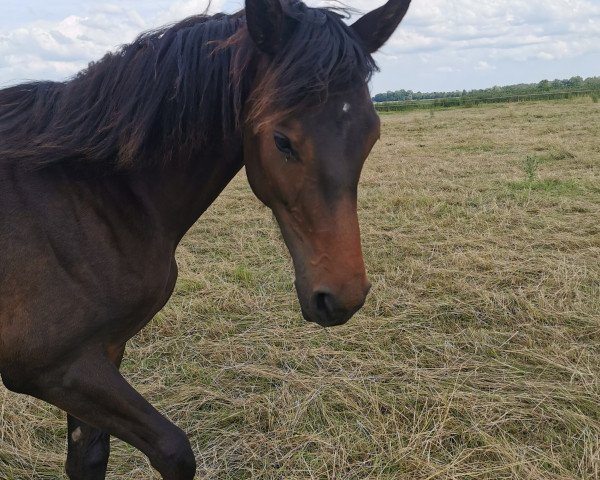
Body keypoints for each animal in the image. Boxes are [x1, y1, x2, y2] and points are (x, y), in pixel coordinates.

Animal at [0, 1, 412, 478]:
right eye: (282, 140)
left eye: (371, 135)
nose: (343, 297)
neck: (85, 192)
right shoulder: (50, 367)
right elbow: (174, 450)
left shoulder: (100, 353)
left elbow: (90, 458)